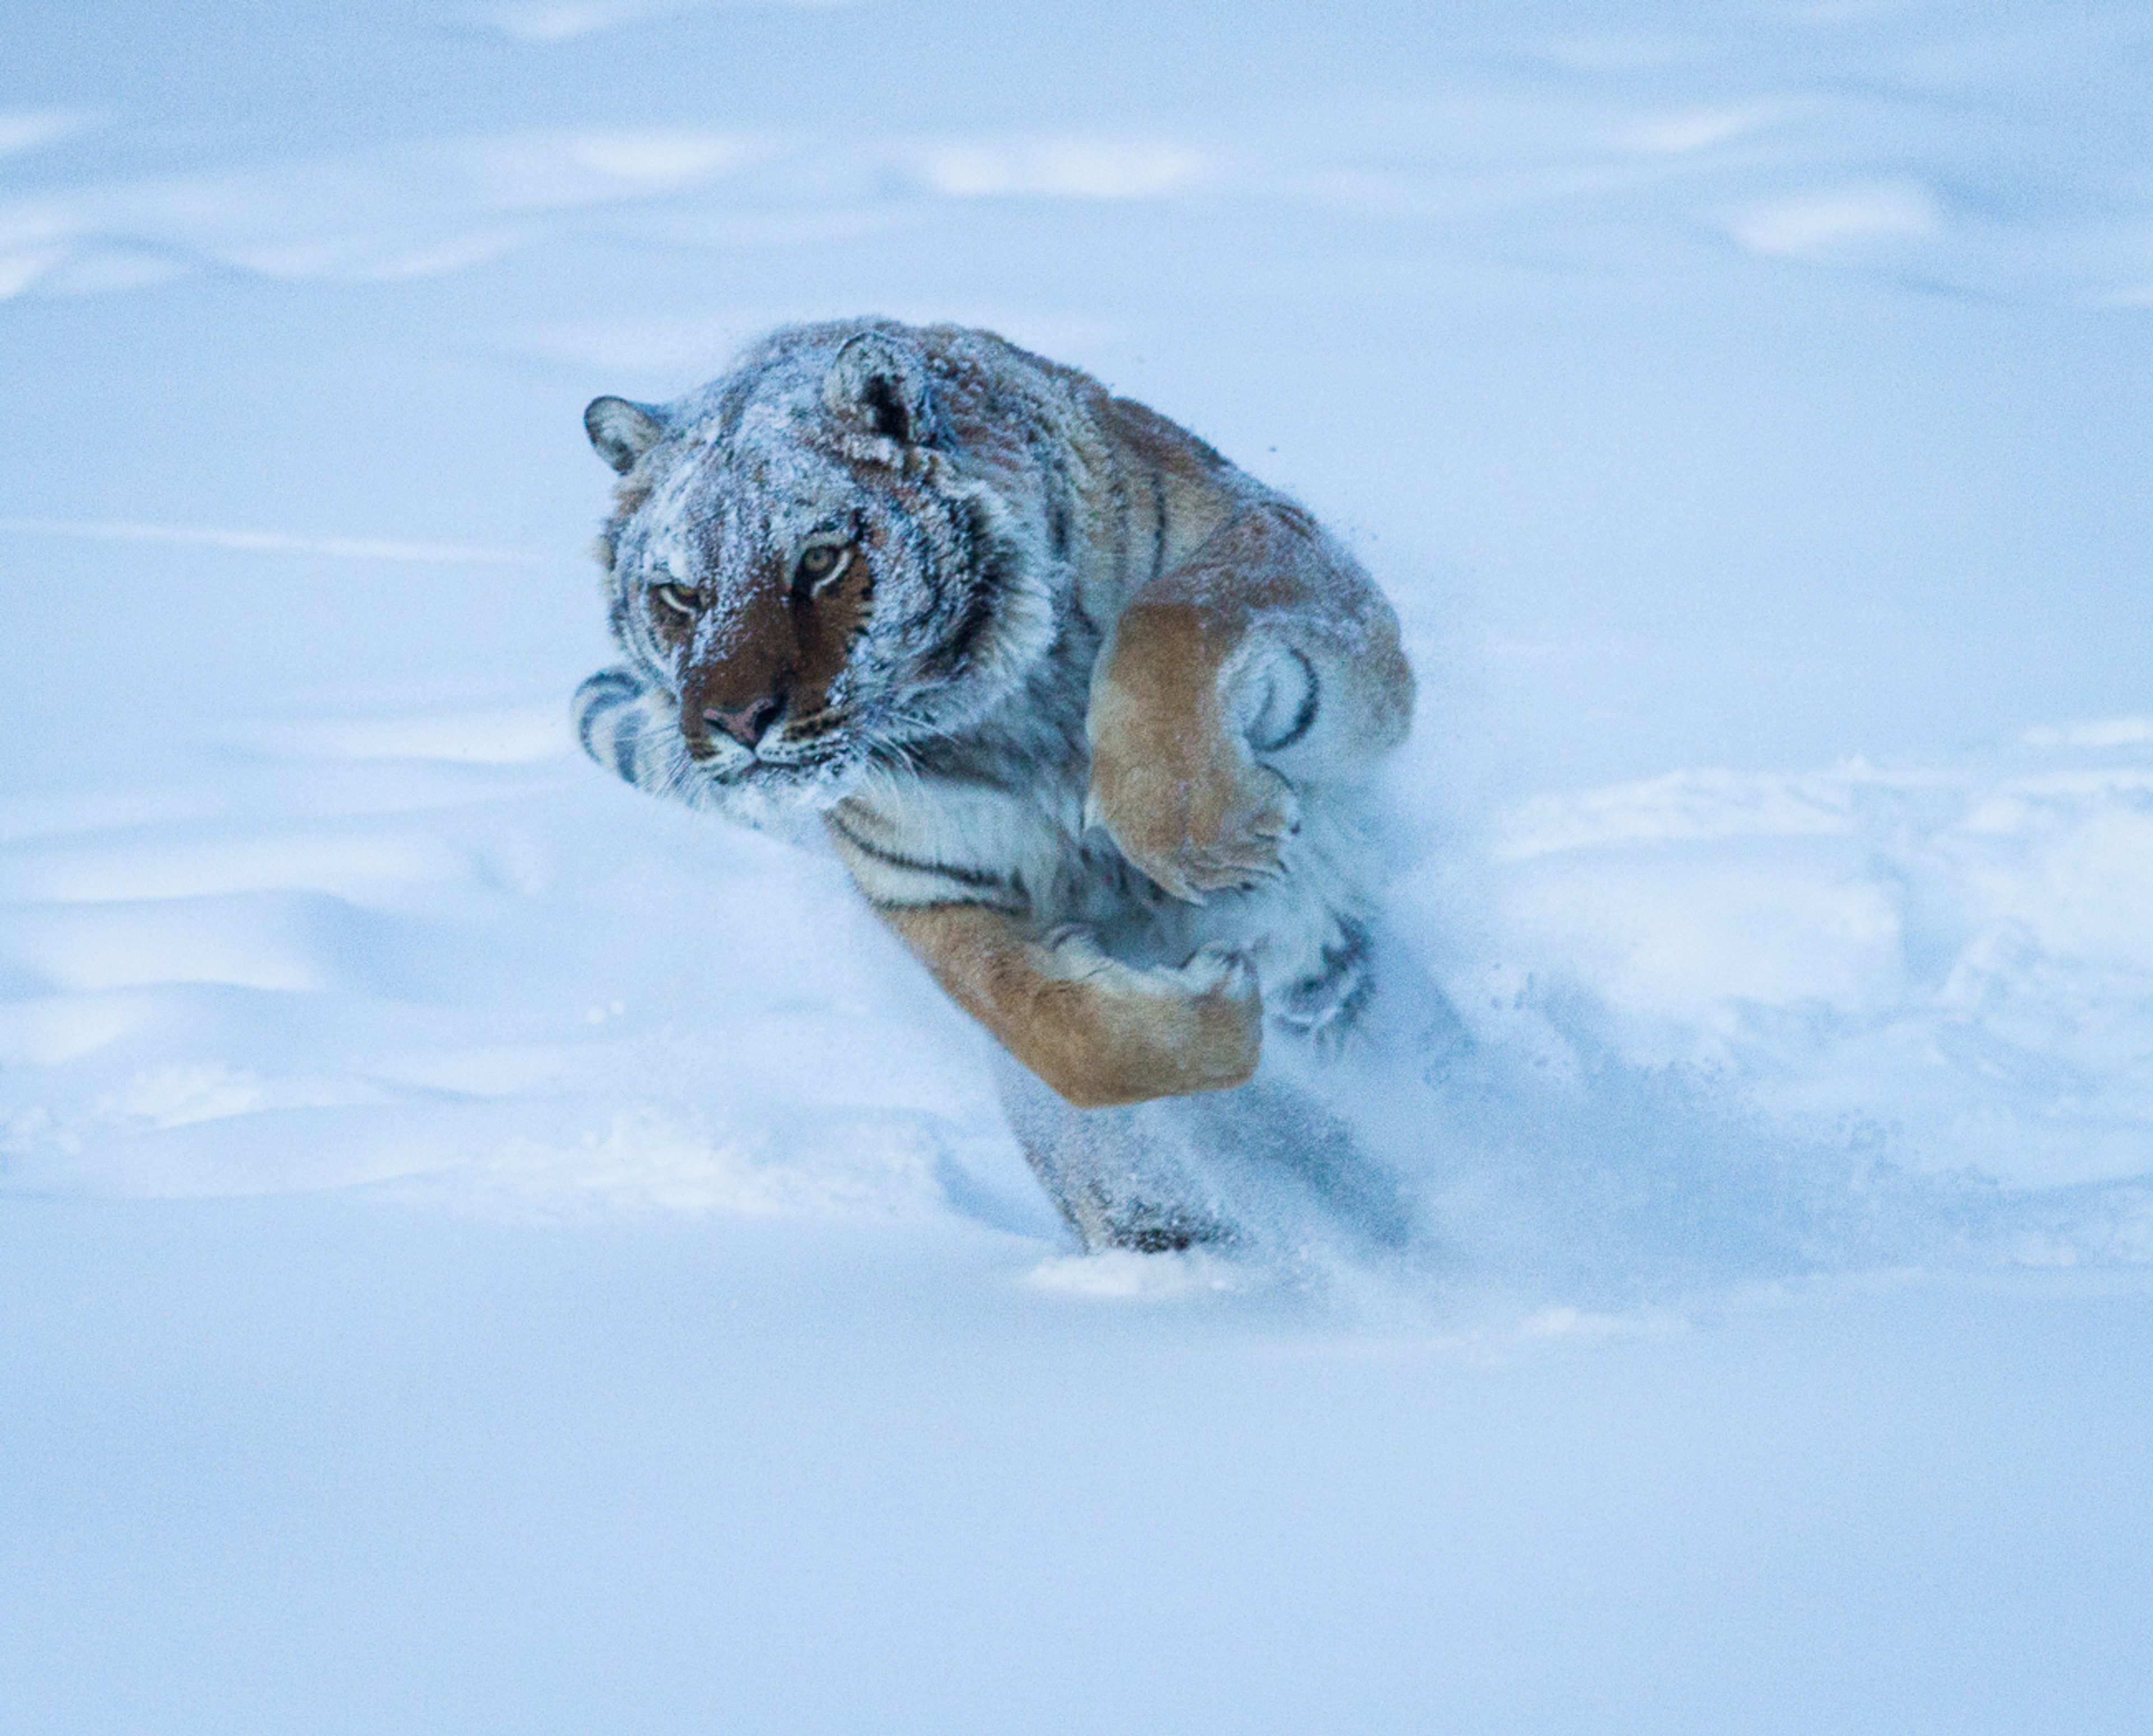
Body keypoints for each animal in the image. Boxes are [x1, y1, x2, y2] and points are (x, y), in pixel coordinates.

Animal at [572, 318, 1417, 1250]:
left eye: (821, 560)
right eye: (681, 594)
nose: (736, 721)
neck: (997, 709)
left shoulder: (1286, 555)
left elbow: (1171, 614)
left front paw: (1208, 838)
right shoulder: (927, 891)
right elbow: (1060, 1034)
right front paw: (1216, 1002)